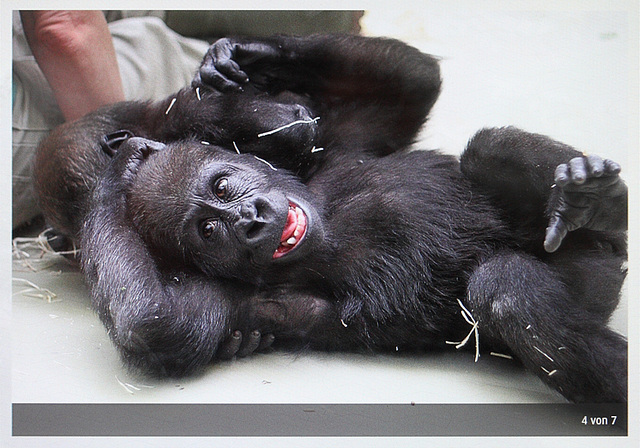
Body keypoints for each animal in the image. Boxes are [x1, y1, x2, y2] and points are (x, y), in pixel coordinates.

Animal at [32, 34, 628, 402]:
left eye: (222, 187)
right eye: (208, 229)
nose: (250, 218)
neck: (322, 212)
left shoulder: (339, 142)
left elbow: (411, 83)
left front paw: (245, 54)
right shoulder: (230, 298)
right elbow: (158, 325)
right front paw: (115, 179)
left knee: (488, 152)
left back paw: (597, 198)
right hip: (597, 280)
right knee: (509, 288)